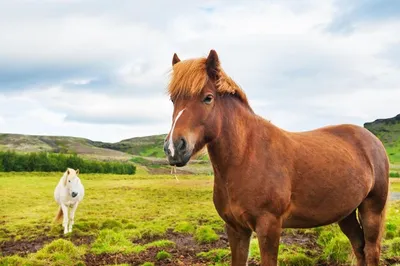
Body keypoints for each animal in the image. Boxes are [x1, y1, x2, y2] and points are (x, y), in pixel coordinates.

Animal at [162, 50, 388, 266]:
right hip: (346, 213)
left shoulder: (268, 227)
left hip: (372, 210)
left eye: (208, 98)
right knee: (359, 248)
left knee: (371, 250)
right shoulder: (236, 229)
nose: (174, 148)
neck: (246, 157)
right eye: (173, 100)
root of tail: (373, 141)